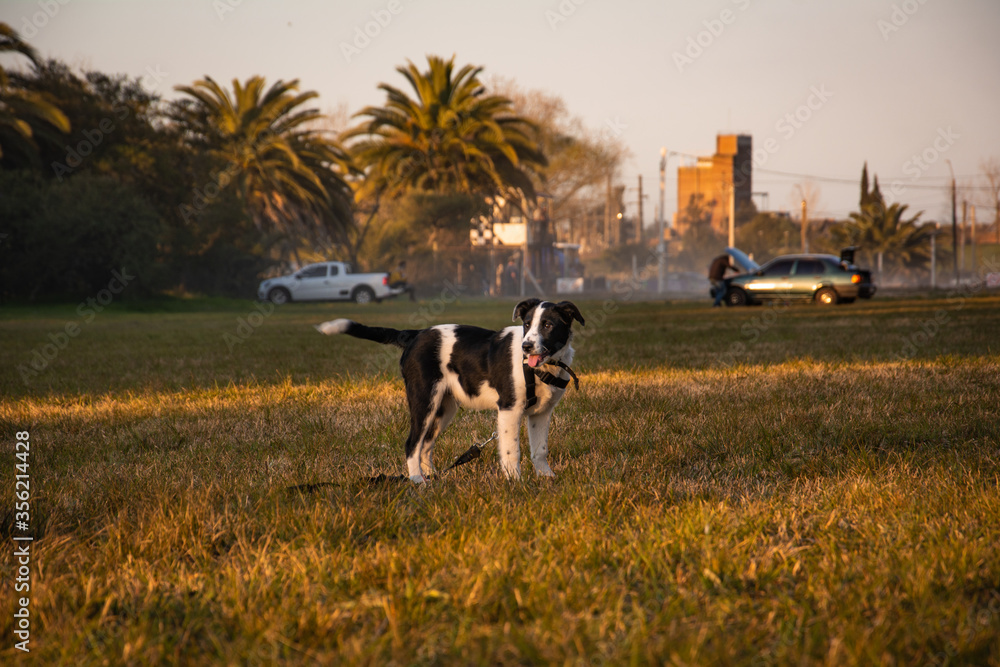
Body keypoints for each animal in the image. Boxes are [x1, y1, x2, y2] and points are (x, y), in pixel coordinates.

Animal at [316, 300, 584, 482]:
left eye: (547, 325)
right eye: (527, 324)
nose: (526, 346)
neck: (545, 366)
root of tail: (414, 335)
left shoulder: (541, 414)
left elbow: (540, 450)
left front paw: (547, 478)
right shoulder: (509, 409)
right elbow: (511, 452)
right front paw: (515, 483)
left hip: (444, 408)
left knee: (425, 445)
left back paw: (434, 478)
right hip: (424, 399)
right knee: (412, 444)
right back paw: (418, 482)